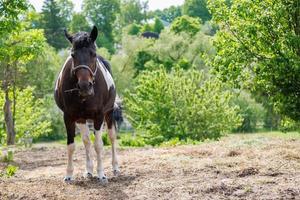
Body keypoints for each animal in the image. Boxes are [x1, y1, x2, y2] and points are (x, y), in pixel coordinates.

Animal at [54, 25, 120, 184]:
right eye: (73, 55)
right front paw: (69, 174)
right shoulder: (69, 117)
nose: (84, 86)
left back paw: (115, 167)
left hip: (109, 114)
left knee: (112, 137)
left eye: (93, 54)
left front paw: (101, 174)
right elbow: (72, 146)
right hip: (82, 119)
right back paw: (89, 170)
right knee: (86, 141)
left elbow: (99, 145)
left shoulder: (99, 116)